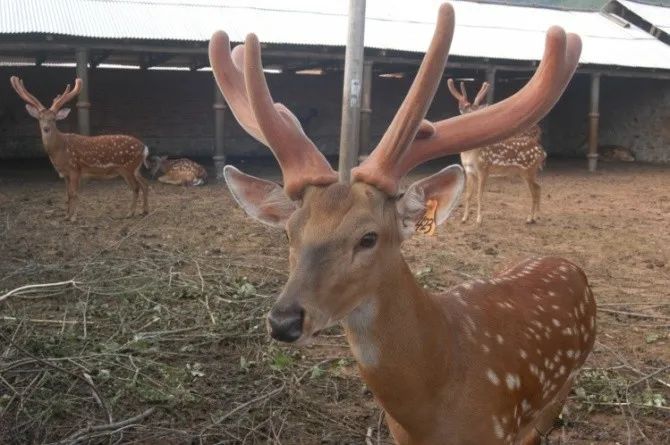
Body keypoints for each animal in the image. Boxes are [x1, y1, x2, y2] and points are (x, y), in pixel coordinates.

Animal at [8, 77, 150, 222]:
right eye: (40, 118)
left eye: (53, 119)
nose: (46, 128)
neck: (60, 150)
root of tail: (144, 147)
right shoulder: (64, 173)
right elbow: (67, 194)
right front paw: (66, 216)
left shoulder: (75, 169)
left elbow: (74, 193)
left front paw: (73, 217)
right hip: (135, 168)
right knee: (145, 183)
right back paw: (144, 211)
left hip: (127, 167)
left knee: (136, 187)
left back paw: (130, 212)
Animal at [448, 78, 548, 224]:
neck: (470, 154)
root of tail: (542, 152)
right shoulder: (469, 170)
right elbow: (467, 195)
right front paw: (464, 218)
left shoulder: (484, 168)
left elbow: (479, 194)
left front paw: (478, 219)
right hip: (527, 172)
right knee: (538, 188)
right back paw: (535, 217)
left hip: (528, 169)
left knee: (535, 190)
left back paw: (530, 218)